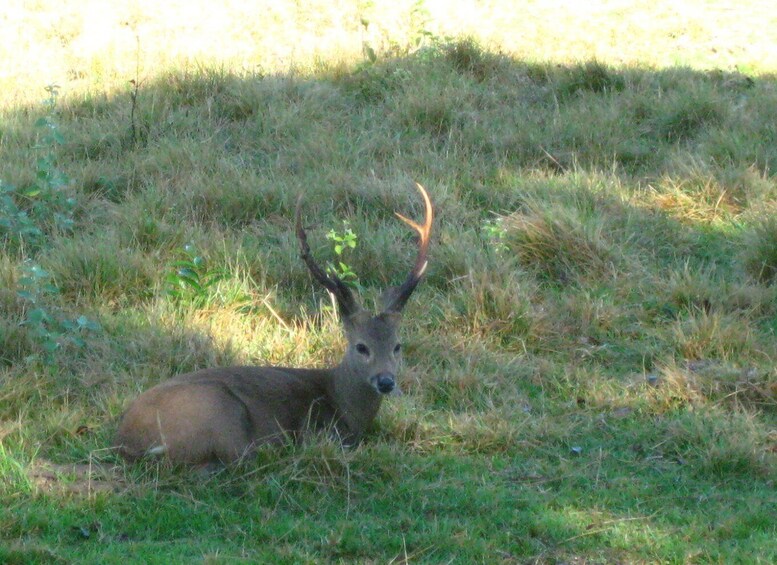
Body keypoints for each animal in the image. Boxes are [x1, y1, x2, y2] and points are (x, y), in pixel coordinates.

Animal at [116, 183, 434, 464]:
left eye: (397, 346)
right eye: (361, 346)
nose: (386, 381)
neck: (341, 403)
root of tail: (127, 440)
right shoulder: (320, 431)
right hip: (221, 410)